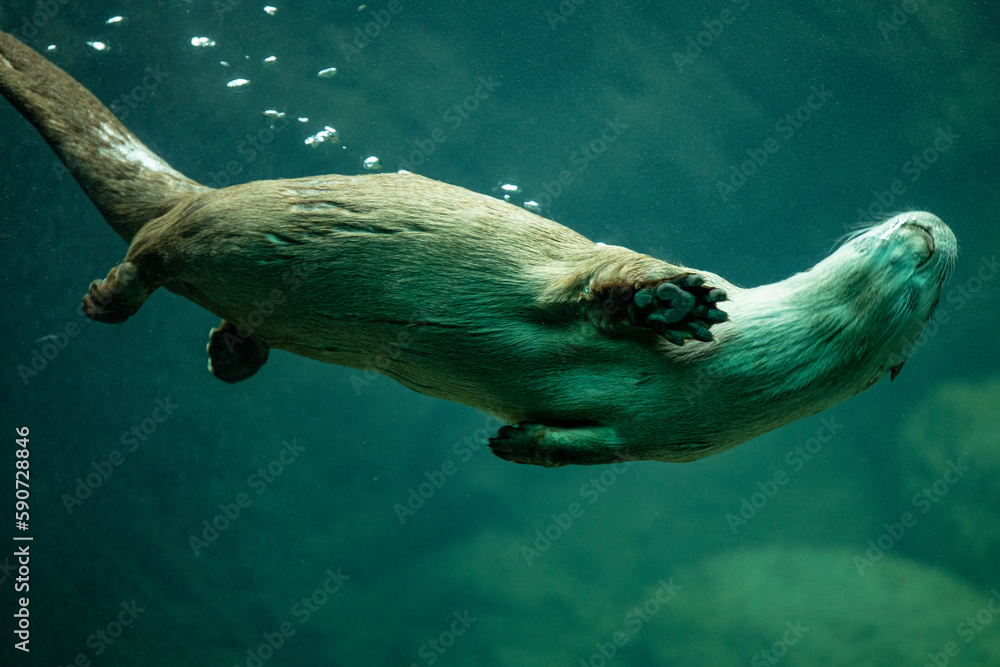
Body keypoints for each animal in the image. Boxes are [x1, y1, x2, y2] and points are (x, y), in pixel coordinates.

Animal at [0, 31, 956, 466]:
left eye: (940, 284)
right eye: (924, 260)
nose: (940, 224)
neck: (743, 372)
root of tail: (199, 191)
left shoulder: (651, 438)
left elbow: (592, 443)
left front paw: (517, 442)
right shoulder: (590, 269)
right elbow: (604, 274)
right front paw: (676, 301)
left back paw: (229, 351)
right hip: (209, 223)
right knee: (150, 244)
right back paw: (107, 297)